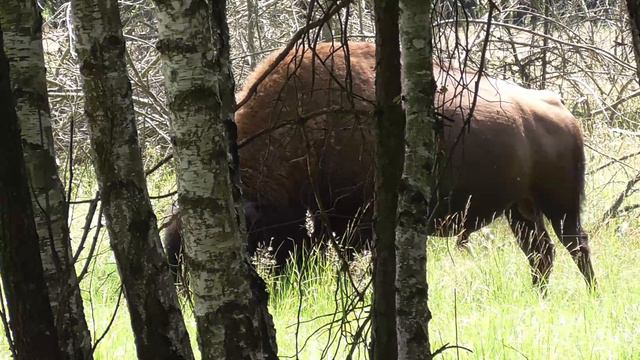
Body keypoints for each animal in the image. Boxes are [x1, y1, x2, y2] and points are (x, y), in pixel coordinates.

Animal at [164, 42, 596, 290]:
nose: (184, 293)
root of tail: (559, 107)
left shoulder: (355, 222)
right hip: (519, 209)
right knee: (541, 254)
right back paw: (540, 296)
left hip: (560, 206)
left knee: (575, 246)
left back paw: (591, 295)